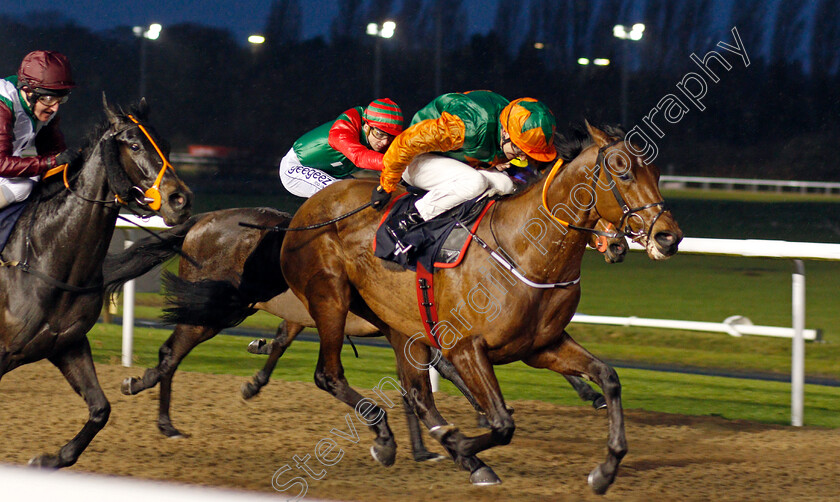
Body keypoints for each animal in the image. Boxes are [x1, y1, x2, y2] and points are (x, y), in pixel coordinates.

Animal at [0, 96, 192, 468]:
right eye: (134, 145)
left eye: (166, 146)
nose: (181, 200)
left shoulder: (67, 345)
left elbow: (101, 409)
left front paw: (49, 459)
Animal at [276, 122, 684, 494]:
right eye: (623, 171)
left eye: (657, 174)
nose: (669, 237)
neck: (524, 250)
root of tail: (306, 212)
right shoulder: (466, 347)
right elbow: (502, 423)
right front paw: (459, 441)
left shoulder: (542, 346)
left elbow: (608, 377)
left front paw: (605, 470)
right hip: (331, 298)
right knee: (329, 375)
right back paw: (391, 439)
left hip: (399, 324)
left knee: (417, 394)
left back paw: (446, 453)